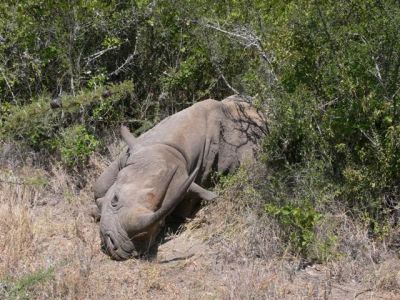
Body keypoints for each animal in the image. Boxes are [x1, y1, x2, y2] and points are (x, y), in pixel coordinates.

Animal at [93, 96, 266, 260]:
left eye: (161, 224)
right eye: (115, 199)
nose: (122, 251)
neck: (171, 148)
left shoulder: (190, 184)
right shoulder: (134, 149)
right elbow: (101, 185)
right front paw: (96, 210)